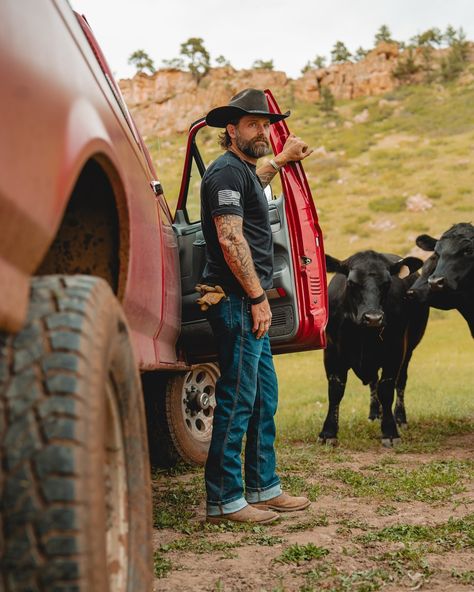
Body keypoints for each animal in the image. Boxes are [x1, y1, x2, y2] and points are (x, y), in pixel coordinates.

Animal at [320, 247, 428, 446]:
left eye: (387, 283)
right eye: (351, 282)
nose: (373, 318)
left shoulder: (396, 351)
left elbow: (387, 389)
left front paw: (390, 431)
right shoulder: (331, 352)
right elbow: (335, 390)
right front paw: (328, 432)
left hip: (409, 350)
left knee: (400, 382)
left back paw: (400, 418)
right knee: (373, 382)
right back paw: (374, 414)